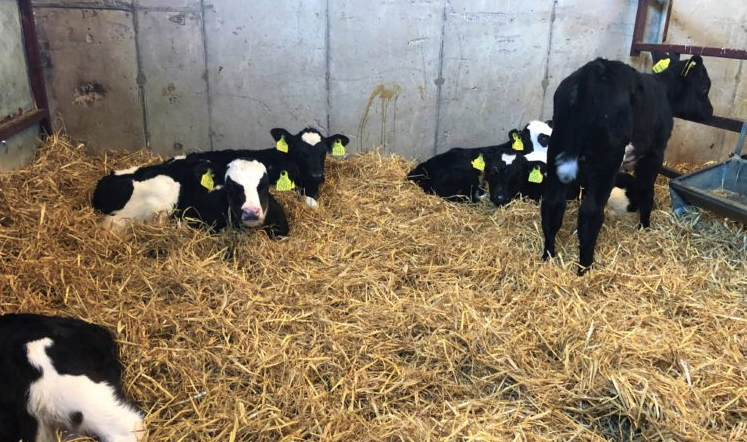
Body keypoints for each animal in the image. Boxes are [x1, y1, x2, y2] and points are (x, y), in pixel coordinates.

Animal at [540, 53, 713, 274]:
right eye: (704, 87)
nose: (710, 111)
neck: (664, 91)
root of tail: (593, 72)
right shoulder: (655, 152)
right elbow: (646, 189)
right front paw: (645, 226)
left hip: (558, 144)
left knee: (552, 205)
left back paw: (548, 256)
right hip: (607, 157)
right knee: (590, 213)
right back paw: (585, 268)